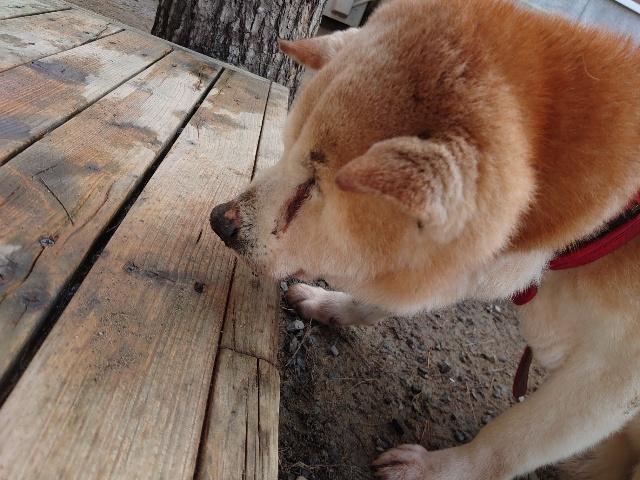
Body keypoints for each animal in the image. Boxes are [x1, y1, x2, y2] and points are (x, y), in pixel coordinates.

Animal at [210, 0, 640, 478]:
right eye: (284, 150)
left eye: (311, 187)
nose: (219, 221)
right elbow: (380, 297)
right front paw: (329, 304)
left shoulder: (614, 378)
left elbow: (511, 441)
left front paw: (435, 468)